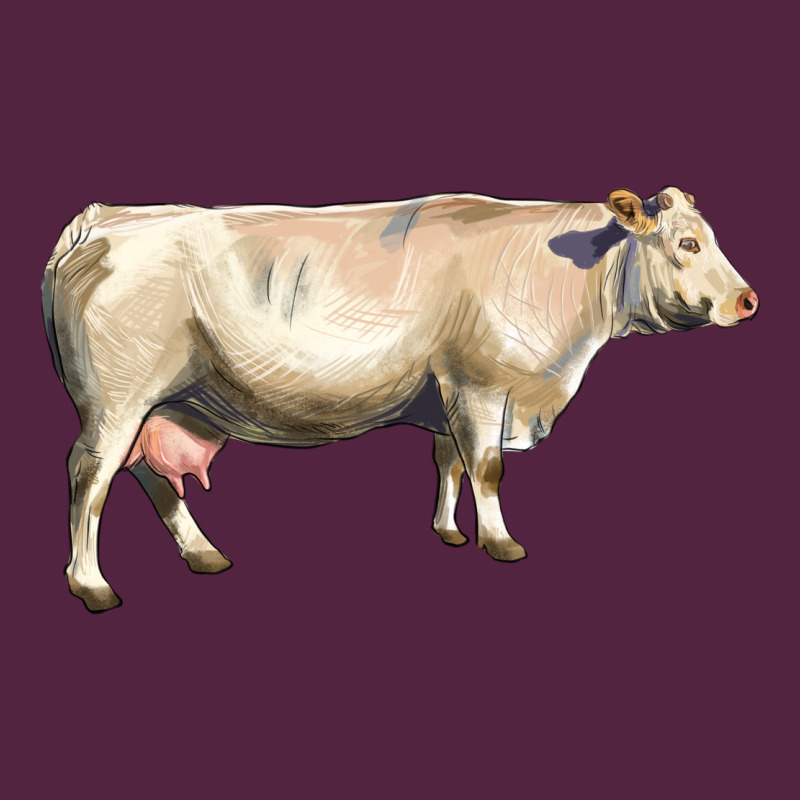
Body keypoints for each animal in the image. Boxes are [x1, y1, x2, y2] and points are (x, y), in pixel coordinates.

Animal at [42, 188, 758, 612]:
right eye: (687, 242)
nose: (749, 300)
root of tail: (105, 217)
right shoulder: (481, 384)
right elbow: (487, 469)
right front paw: (499, 542)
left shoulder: (447, 392)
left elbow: (448, 462)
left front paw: (448, 530)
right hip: (117, 397)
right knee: (90, 476)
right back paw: (92, 584)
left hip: (156, 403)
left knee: (146, 475)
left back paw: (202, 553)